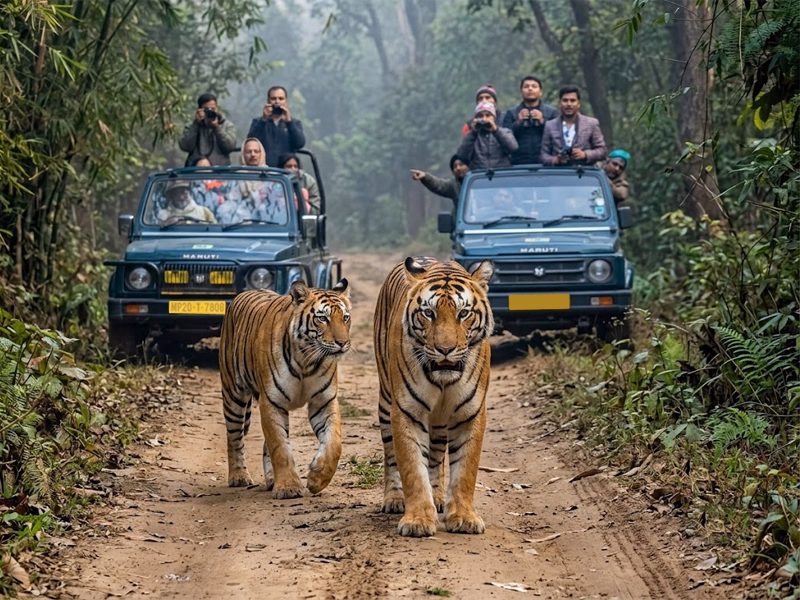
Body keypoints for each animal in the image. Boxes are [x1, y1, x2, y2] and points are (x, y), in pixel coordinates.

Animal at [219, 279, 351, 499]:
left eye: (345, 317)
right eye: (322, 318)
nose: (342, 343)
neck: (306, 360)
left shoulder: (324, 401)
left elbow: (334, 442)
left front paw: (317, 478)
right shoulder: (272, 401)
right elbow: (279, 446)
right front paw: (288, 487)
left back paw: (272, 479)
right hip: (233, 395)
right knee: (234, 438)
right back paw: (239, 476)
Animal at [374, 257, 494, 537]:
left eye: (463, 313)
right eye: (429, 313)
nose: (445, 349)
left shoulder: (471, 413)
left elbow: (465, 469)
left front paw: (464, 517)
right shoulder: (406, 411)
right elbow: (412, 468)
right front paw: (417, 520)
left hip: (440, 422)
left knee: (437, 456)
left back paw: (438, 498)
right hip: (385, 402)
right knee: (390, 454)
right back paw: (394, 500)